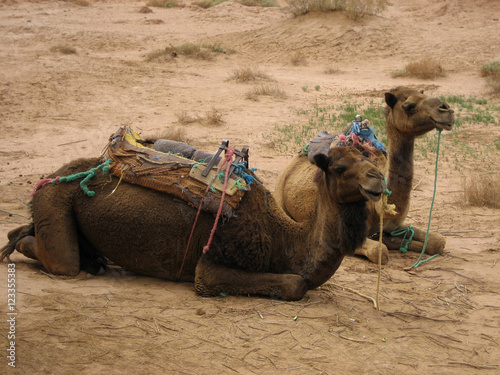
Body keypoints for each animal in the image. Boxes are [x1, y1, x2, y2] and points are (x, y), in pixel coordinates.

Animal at [0, 145, 384, 302]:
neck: (282, 239)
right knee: (62, 261)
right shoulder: (210, 268)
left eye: (369, 159)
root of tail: (51, 175)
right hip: (55, 199)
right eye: (339, 168)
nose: (378, 179)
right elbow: (295, 284)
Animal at [276, 87, 456, 264]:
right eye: (408, 106)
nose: (446, 109)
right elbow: (379, 251)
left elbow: (438, 241)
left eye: (424, 94)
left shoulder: (395, 224)